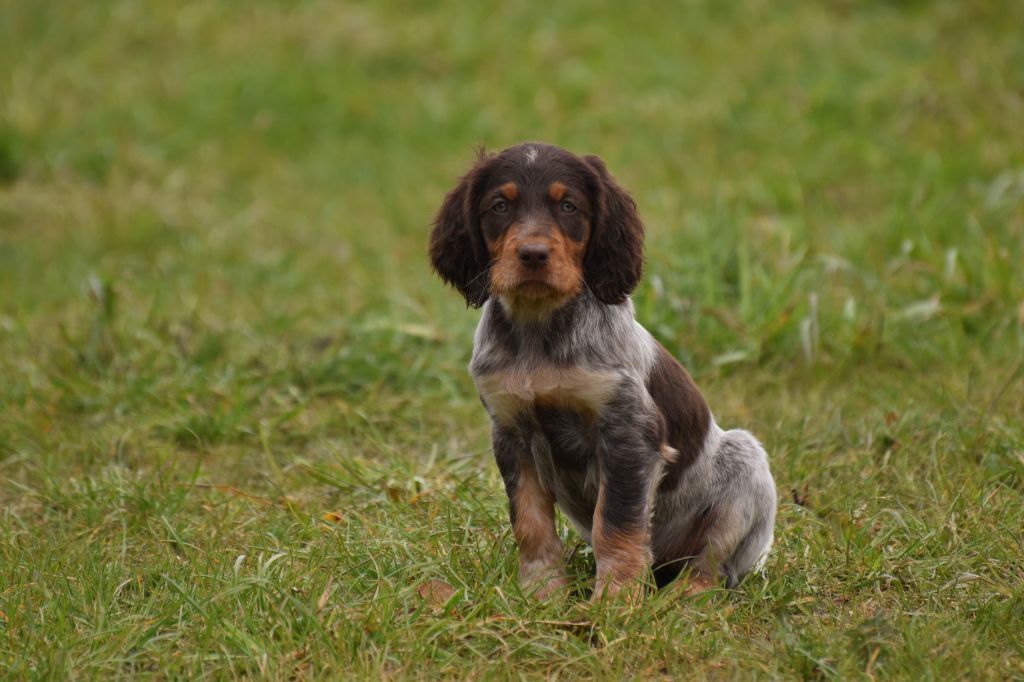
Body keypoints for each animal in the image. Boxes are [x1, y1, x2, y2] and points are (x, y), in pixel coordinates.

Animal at [429, 142, 776, 600]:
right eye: (499, 206)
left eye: (569, 206)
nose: (533, 255)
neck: (539, 331)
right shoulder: (510, 433)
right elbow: (530, 523)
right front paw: (540, 595)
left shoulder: (628, 432)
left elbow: (616, 524)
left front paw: (614, 601)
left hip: (744, 462)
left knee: (712, 563)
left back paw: (686, 596)